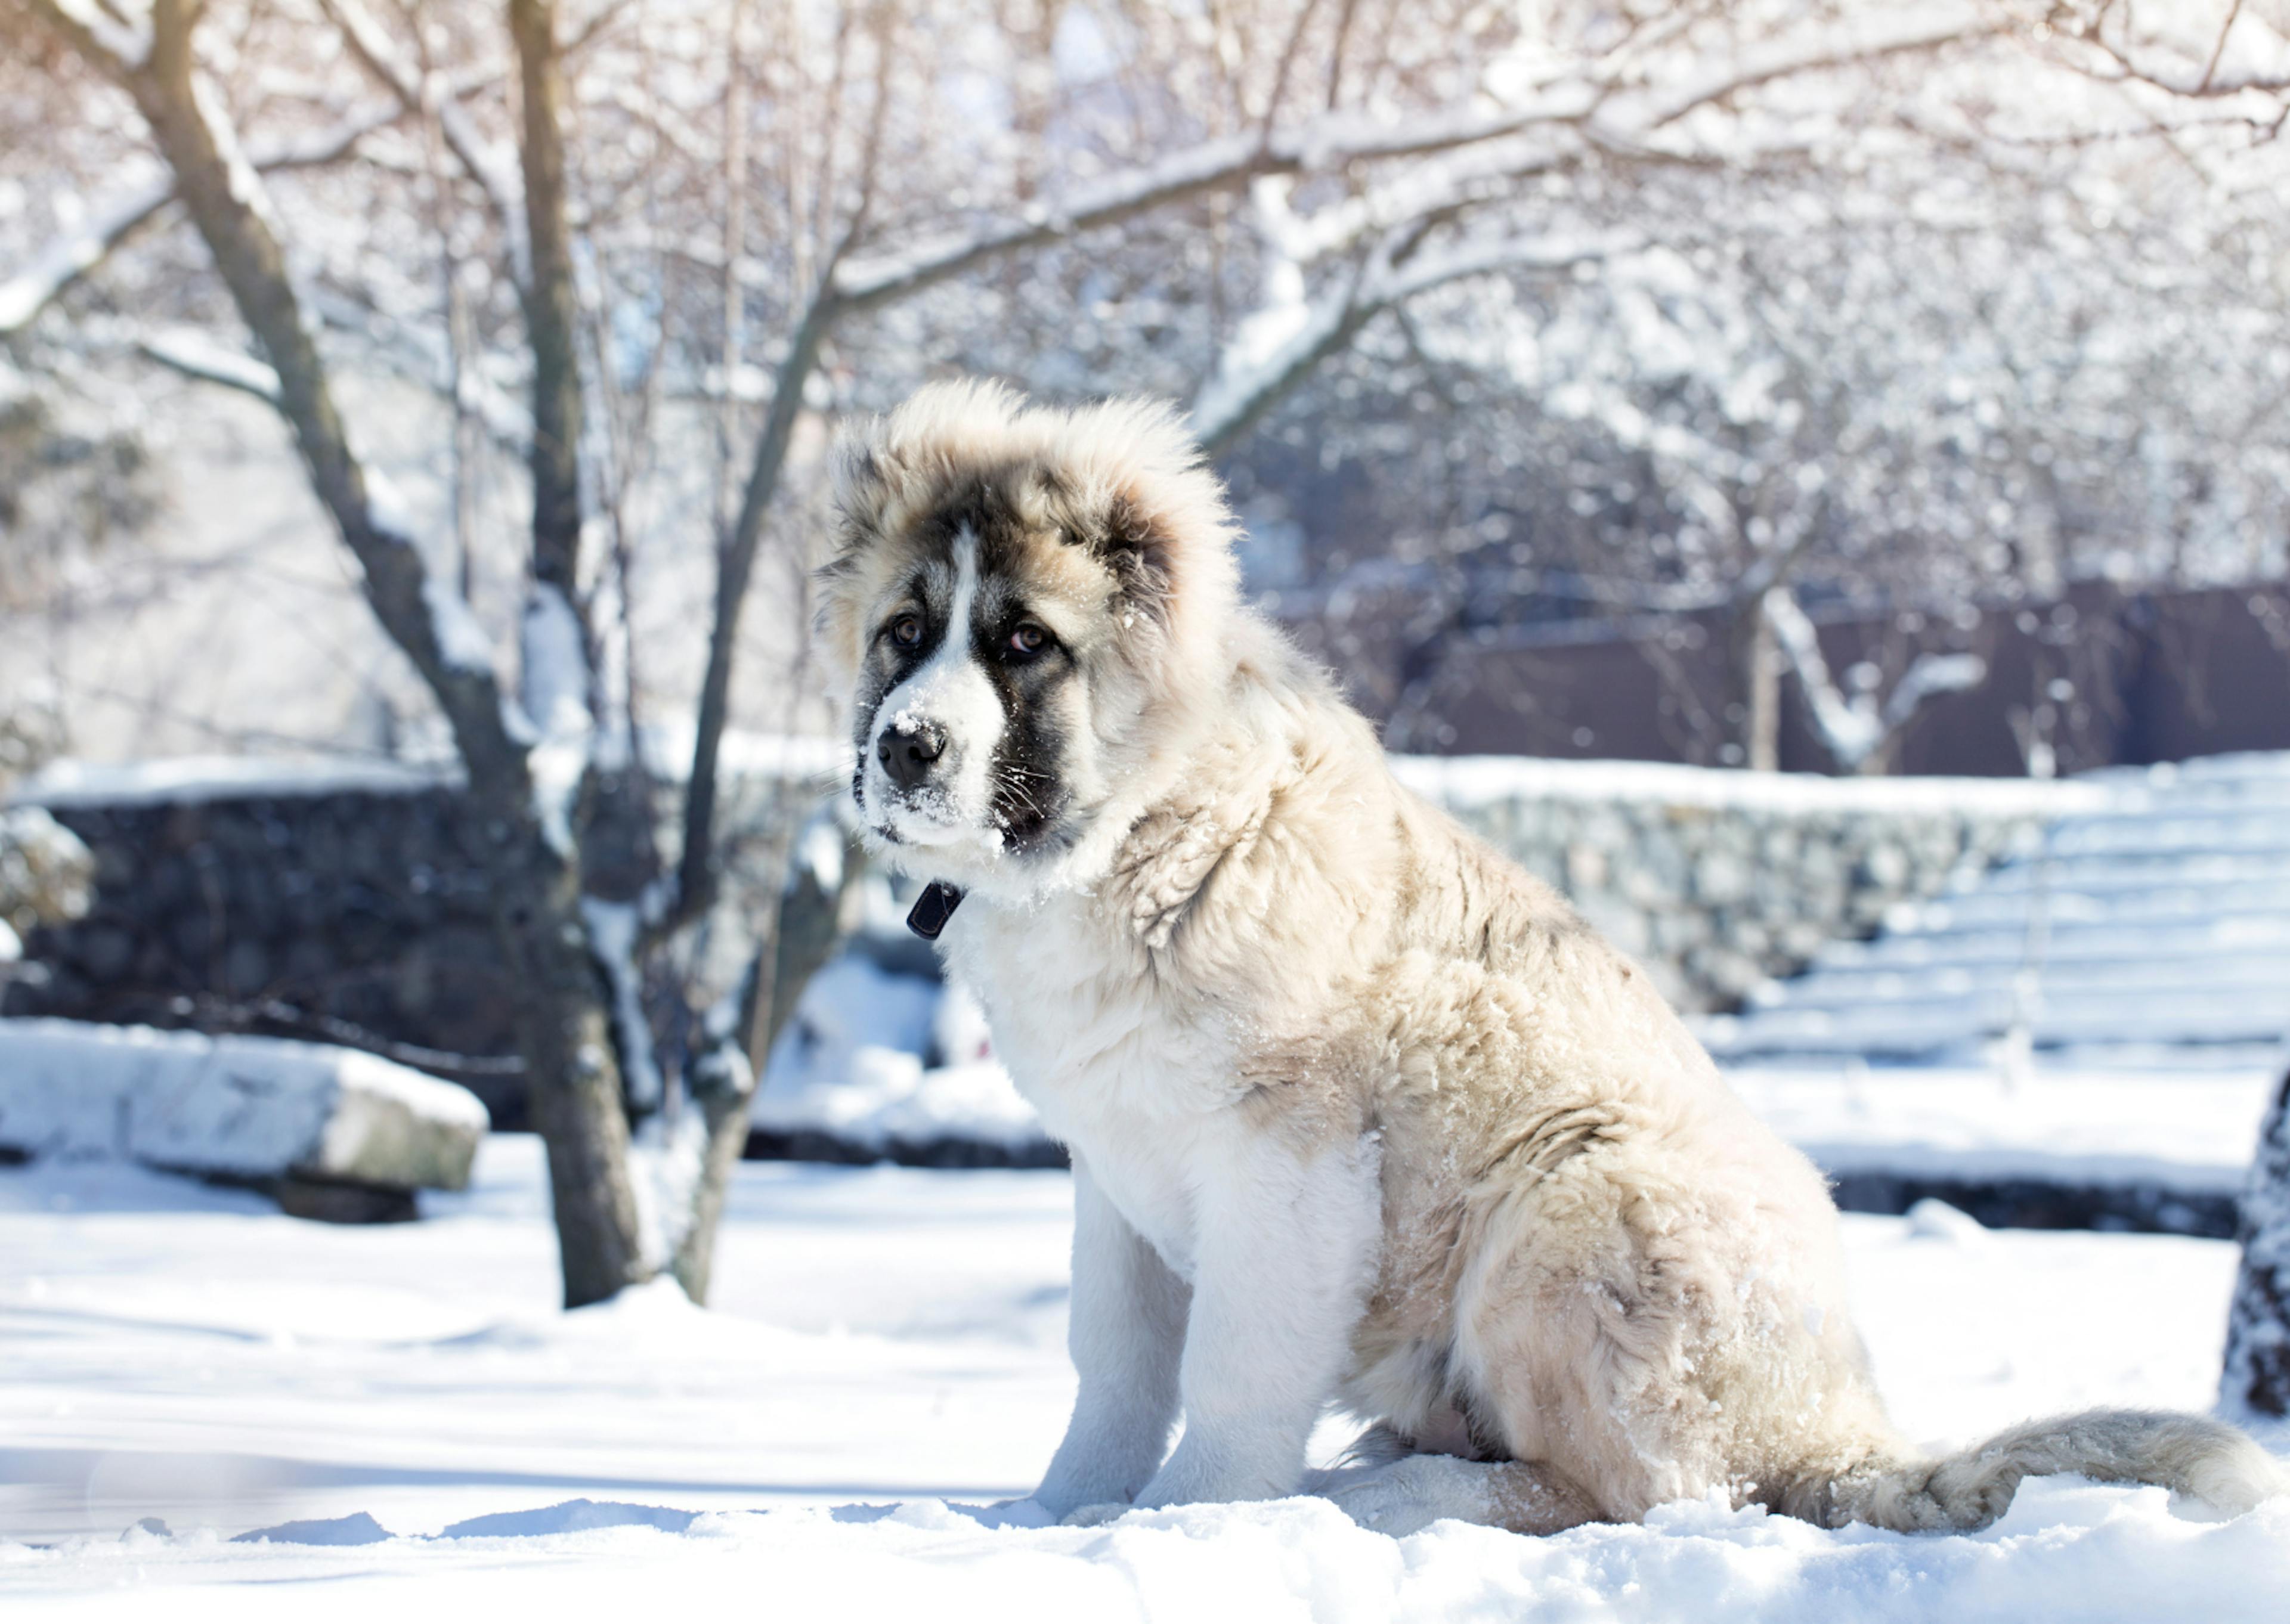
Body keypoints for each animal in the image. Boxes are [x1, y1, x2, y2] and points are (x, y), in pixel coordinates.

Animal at [815, 377, 2280, 1530]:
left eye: (1023, 643)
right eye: (906, 632)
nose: (906, 747)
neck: (1141, 833)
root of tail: (1835, 1432)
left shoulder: (1289, 1166)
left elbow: (1232, 1372)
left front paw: (1189, 1524)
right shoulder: (1115, 1174)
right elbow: (1114, 1369)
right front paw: (1057, 1518)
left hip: (1574, 1207)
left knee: (1649, 1494)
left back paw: (1395, 1494)